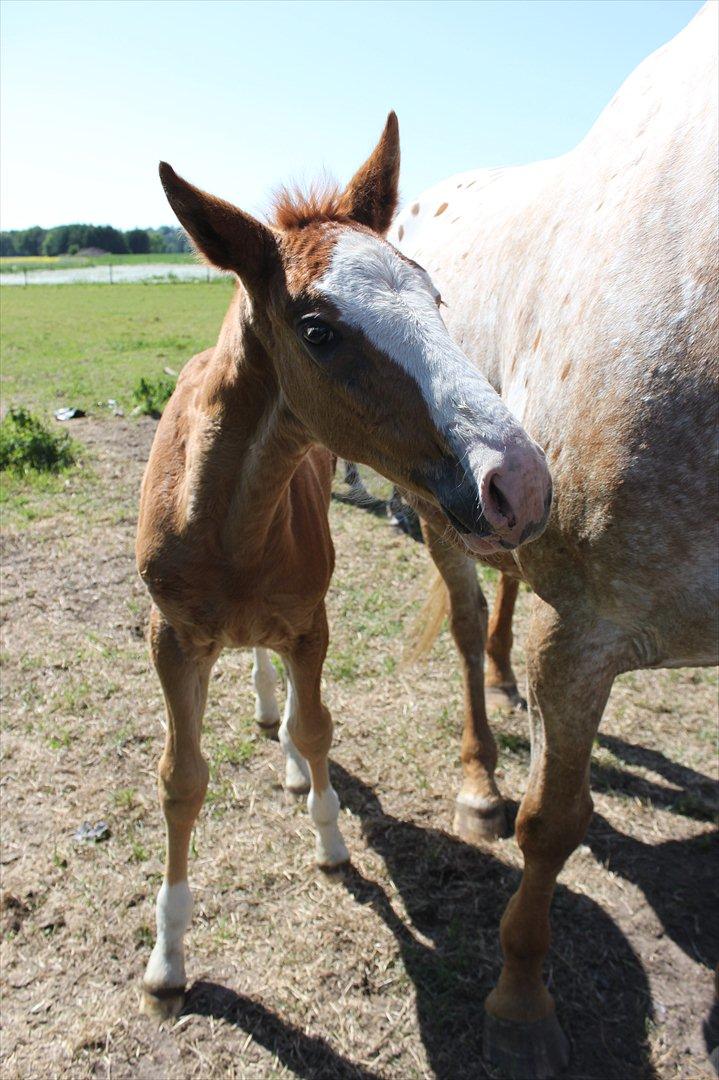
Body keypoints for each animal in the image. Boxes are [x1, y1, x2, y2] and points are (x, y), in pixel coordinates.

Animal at [134, 118, 548, 1019]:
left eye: (434, 300)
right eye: (318, 328)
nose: (520, 482)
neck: (229, 527)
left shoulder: (310, 623)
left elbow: (318, 727)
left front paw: (327, 839)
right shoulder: (170, 640)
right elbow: (180, 780)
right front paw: (167, 960)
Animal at [392, 4, 716, 1075]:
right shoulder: (584, 635)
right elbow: (550, 826)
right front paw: (520, 1004)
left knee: (500, 601)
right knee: (464, 625)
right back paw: (480, 775)